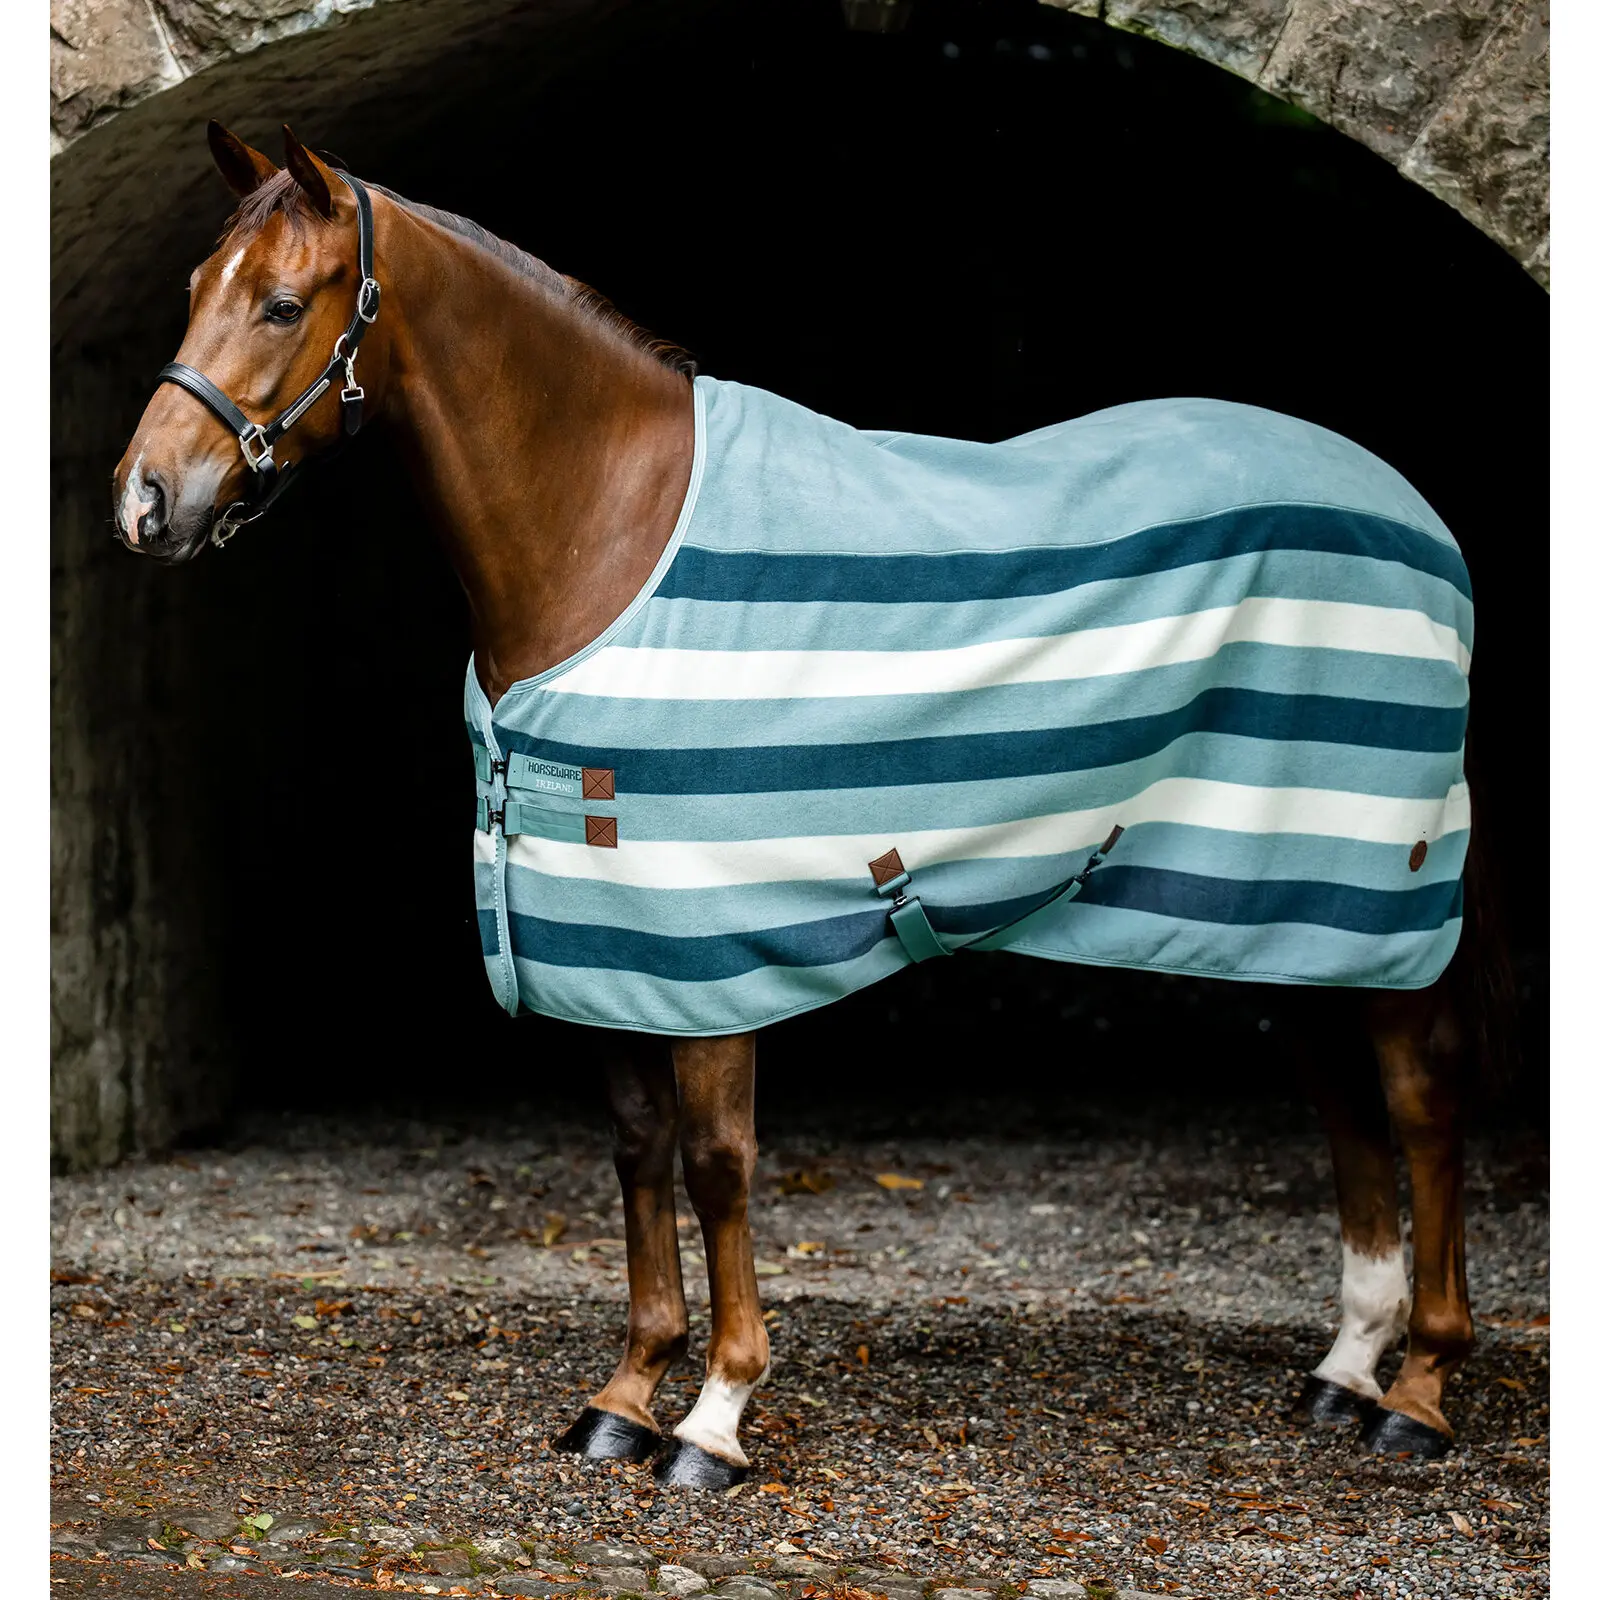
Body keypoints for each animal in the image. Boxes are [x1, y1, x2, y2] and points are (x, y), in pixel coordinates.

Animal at [111, 122, 1507, 1489]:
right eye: (190, 289)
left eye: (283, 303)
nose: (145, 502)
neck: (606, 531)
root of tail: (1410, 512)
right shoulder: (600, 937)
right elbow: (638, 1150)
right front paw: (626, 1392)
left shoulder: (709, 946)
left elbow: (718, 1165)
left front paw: (715, 1418)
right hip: (1273, 902)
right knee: (1340, 1095)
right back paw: (1345, 1366)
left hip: (1378, 896)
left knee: (1421, 1099)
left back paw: (1419, 1391)